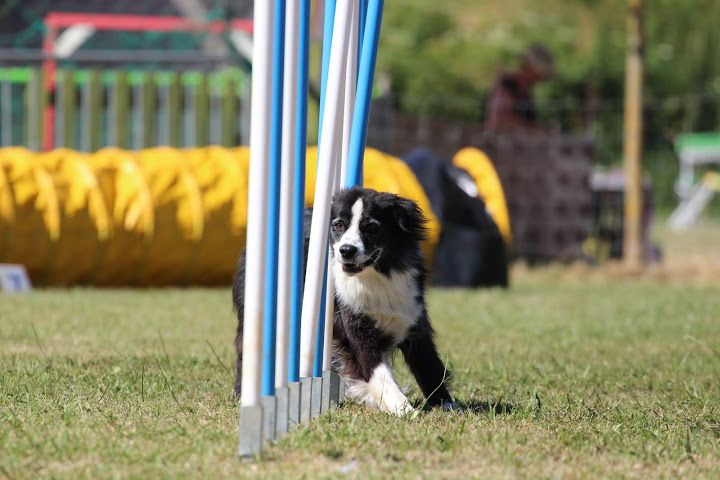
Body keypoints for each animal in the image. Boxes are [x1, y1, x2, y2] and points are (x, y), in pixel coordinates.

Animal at [233, 186, 452, 414]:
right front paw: (404, 410)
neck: (376, 276)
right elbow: (378, 372)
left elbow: (430, 367)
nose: (346, 250)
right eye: (337, 225)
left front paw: (447, 405)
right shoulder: (355, 324)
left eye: (371, 227)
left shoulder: (412, 317)